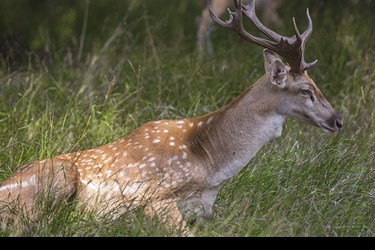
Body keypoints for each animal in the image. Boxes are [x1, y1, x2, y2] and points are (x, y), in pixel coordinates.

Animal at [0, 0, 342, 234]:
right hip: (56, 180)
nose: (337, 120)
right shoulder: (152, 196)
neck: (208, 164)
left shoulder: (206, 207)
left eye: (317, 84)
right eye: (305, 90)